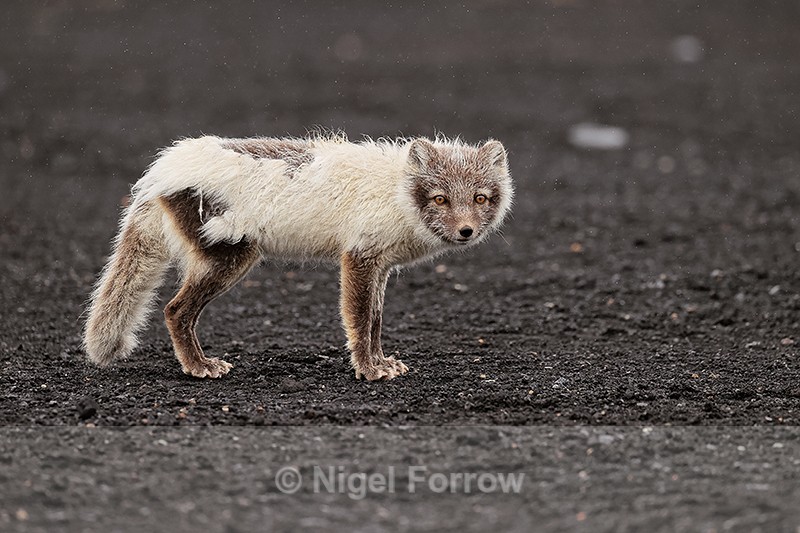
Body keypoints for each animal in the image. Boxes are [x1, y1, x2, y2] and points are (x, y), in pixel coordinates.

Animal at [83, 134, 513, 380]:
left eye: (480, 198)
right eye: (440, 199)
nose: (466, 231)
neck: (396, 191)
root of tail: (161, 169)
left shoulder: (381, 266)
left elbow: (374, 321)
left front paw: (381, 363)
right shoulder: (359, 257)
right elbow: (359, 321)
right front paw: (368, 370)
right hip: (230, 260)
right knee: (174, 310)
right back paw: (199, 367)